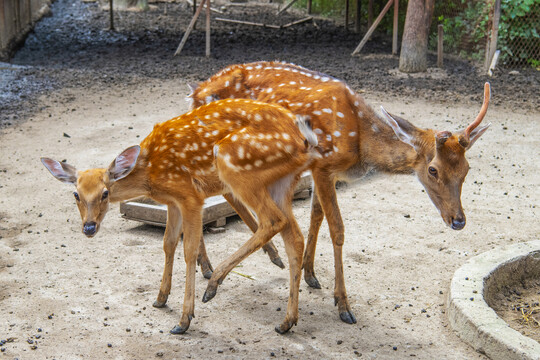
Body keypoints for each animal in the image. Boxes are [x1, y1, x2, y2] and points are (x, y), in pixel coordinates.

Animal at [44, 99, 320, 334]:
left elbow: (188, 250)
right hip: (281, 183)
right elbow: (168, 244)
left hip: (238, 167)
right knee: (294, 237)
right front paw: (160, 298)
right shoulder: (172, 202)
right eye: (76, 194)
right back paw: (287, 321)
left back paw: (213, 285)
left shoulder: (190, 196)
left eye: (105, 193)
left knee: (273, 221)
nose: (89, 227)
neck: (150, 174)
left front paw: (184, 319)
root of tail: (305, 140)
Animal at [189, 60, 490, 324]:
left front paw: (310, 274)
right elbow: (337, 228)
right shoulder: (323, 165)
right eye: (433, 169)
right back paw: (216, 268)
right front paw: (343, 305)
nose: (458, 220)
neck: (360, 144)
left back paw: (231, 261)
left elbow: (316, 215)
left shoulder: (325, 173)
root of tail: (195, 92)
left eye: (467, 169)